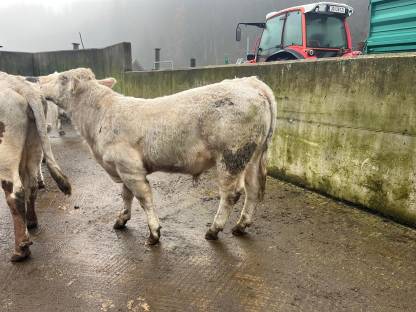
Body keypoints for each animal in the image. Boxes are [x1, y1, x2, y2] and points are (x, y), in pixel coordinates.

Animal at [0, 72, 71, 262]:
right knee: (31, 185)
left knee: (15, 192)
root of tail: (18, 84)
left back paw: (21, 249)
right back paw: (31, 222)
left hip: (6, 153)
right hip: (33, 145)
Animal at [39, 67, 276, 244]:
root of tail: (251, 82)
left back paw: (214, 230)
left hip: (232, 156)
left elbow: (143, 197)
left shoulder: (130, 167)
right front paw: (121, 219)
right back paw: (241, 226)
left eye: (62, 78)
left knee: (231, 194)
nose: (39, 80)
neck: (99, 117)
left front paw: (154, 232)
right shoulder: (122, 167)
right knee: (253, 189)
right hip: (253, 156)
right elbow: (126, 195)